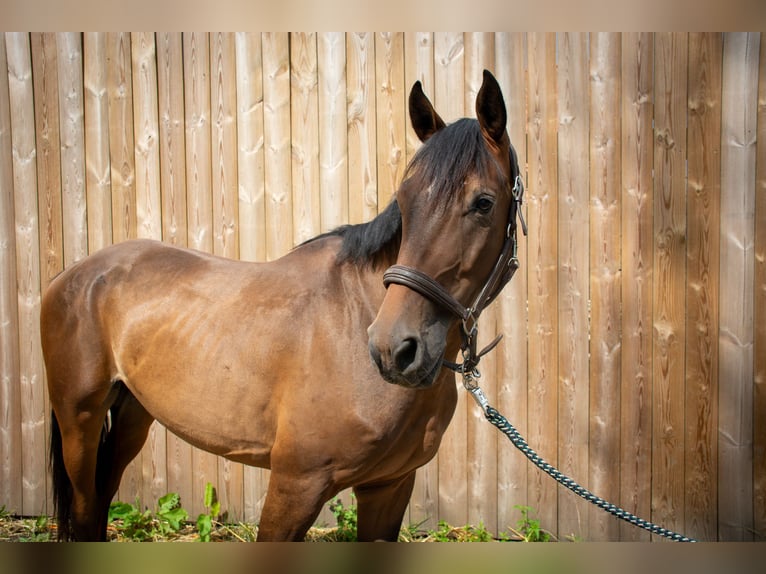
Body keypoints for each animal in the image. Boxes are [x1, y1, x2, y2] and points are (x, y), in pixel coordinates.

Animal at [42, 69, 523, 541]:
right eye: (404, 201)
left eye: (484, 203)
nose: (394, 349)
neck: (355, 319)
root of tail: (76, 274)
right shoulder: (296, 485)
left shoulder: (388, 488)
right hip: (79, 422)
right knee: (84, 510)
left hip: (132, 416)